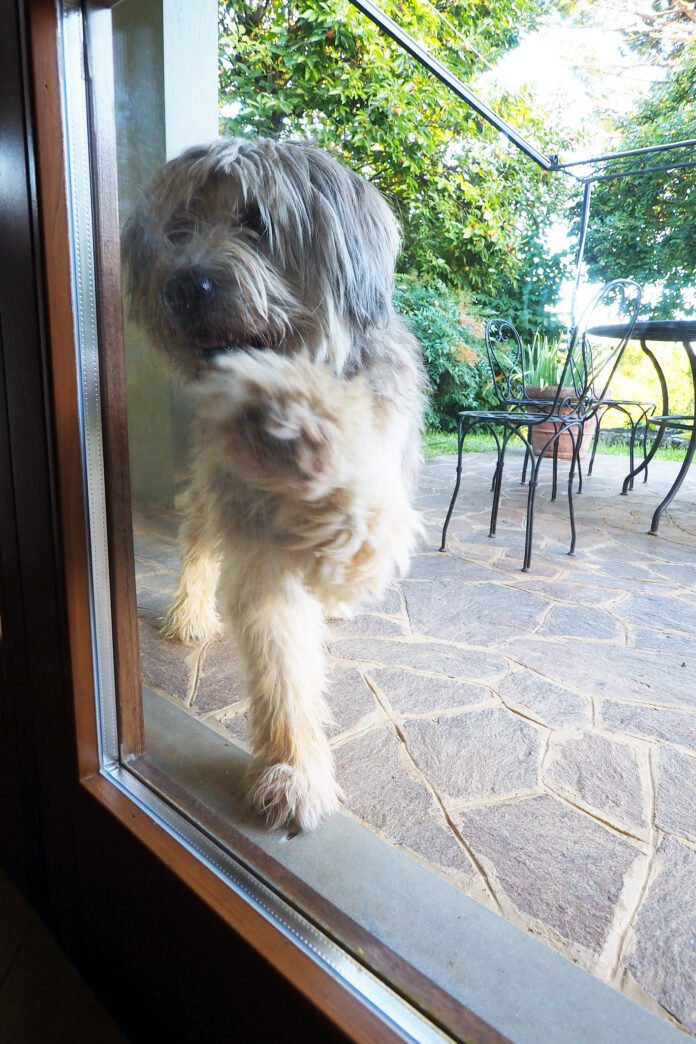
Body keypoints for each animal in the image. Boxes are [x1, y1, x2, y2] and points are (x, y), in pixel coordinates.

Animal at [123, 138, 425, 826]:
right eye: (179, 227)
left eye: (256, 222)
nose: (185, 285)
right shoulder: (253, 534)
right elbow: (278, 655)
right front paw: (293, 767)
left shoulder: (379, 502)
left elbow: (358, 520)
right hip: (207, 494)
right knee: (198, 542)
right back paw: (189, 611)